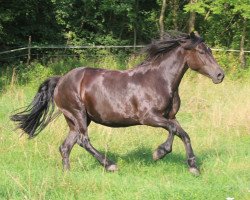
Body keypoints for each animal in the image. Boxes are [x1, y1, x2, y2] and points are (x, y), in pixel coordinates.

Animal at [10, 31, 225, 175]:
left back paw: (67, 174)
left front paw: (193, 167)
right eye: (201, 52)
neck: (160, 80)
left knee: (66, 146)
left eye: (209, 50)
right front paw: (159, 153)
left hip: (76, 120)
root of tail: (61, 79)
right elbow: (173, 131)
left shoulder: (170, 116)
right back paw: (110, 165)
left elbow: (183, 134)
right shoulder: (149, 117)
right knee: (83, 140)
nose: (220, 75)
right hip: (77, 114)